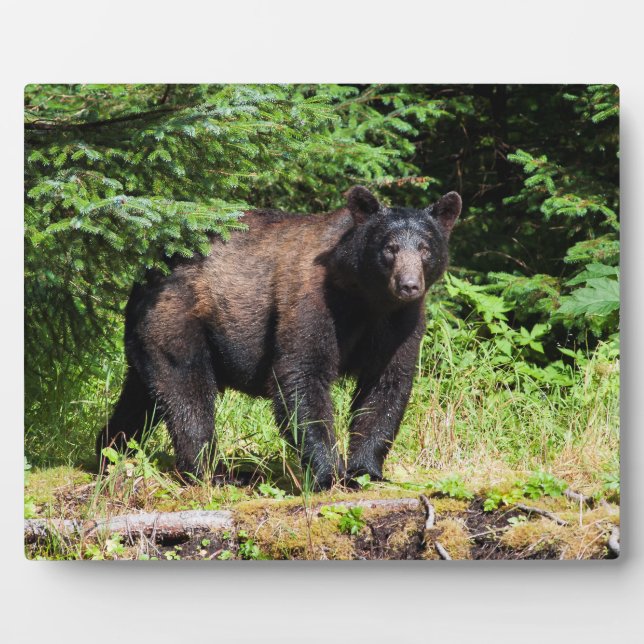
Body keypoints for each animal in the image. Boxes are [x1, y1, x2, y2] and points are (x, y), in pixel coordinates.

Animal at [96, 186, 462, 490]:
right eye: (390, 248)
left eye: (425, 248)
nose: (408, 285)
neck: (366, 298)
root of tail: (147, 272)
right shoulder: (313, 301)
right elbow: (302, 375)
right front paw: (328, 474)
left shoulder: (400, 323)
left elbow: (386, 385)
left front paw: (365, 471)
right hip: (178, 318)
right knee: (187, 391)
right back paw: (215, 473)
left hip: (150, 336)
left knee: (142, 396)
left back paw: (110, 450)